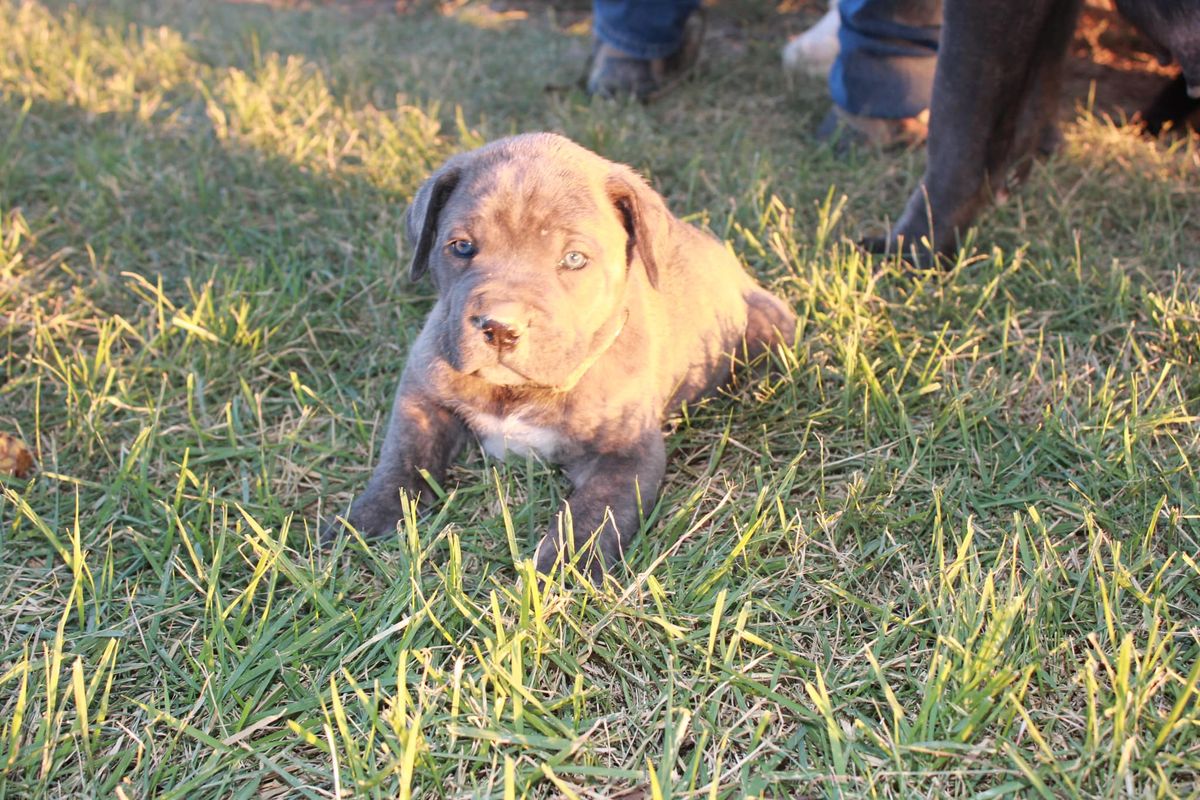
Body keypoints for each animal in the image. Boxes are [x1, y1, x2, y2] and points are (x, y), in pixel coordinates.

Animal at [328, 131, 796, 582]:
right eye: (461, 247)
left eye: (574, 259)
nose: (500, 327)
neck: (518, 391)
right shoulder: (421, 394)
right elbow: (404, 458)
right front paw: (365, 520)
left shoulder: (626, 456)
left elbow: (591, 515)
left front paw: (562, 572)